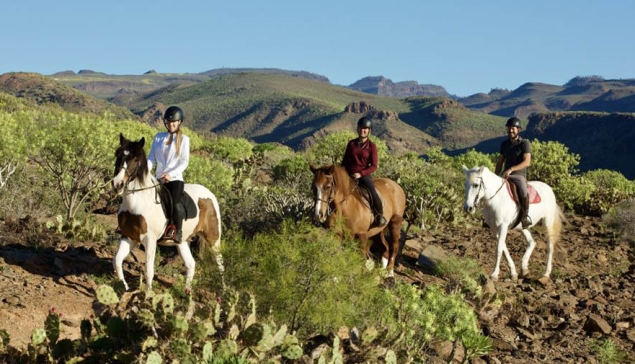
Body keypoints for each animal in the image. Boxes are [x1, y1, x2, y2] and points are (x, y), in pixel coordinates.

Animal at [111, 134, 224, 292]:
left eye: (135, 160)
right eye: (118, 155)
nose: (117, 184)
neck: (138, 203)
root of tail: (210, 194)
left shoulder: (149, 240)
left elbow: (149, 270)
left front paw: (147, 294)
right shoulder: (129, 237)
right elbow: (117, 260)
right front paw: (124, 287)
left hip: (213, 238)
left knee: (220, 262)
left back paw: (223, 289)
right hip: (182, 241)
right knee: (191, 264)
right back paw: (187, 291)